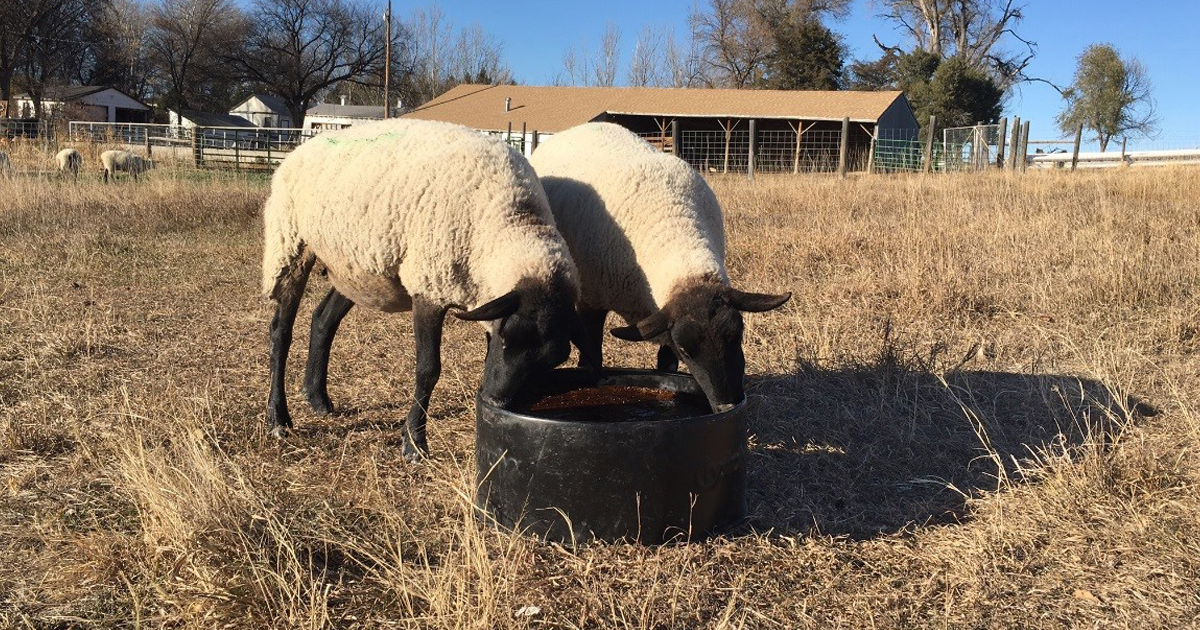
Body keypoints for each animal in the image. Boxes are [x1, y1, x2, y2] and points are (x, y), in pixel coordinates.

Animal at [264, 117, 580, 460]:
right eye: (508, 339)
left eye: (552, 360)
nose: (496, 402)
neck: (509, 218)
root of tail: (300, 148)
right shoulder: (430, 289)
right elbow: (428, 370)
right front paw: (414, 443)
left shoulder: (484, 299)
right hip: (290, 245)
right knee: (281, 332)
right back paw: (278, 419)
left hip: (354, 270)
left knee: (323, 320)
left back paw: (317, 398)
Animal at [530, 121, 792, 412]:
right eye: (687, 349)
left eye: (738, 335)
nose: (727, 406)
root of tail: (585, 126)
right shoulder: (591, 301)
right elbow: (592, 360)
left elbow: (667, 366)